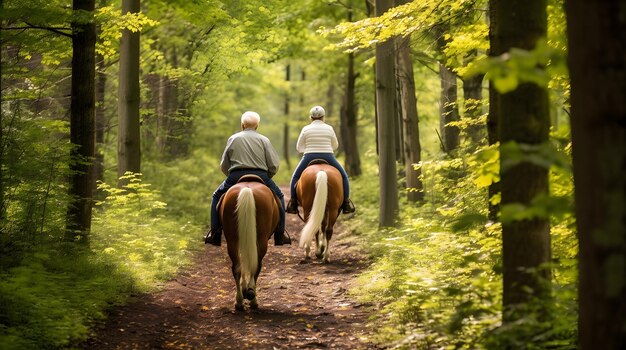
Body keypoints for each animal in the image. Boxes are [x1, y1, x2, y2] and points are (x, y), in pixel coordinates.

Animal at [219, 179, 278, 310]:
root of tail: (247, 189)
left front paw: (244, 288)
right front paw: (246, 290)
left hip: (232, 239)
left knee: (237, 267)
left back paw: (239, 301)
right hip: (261, 239)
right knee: (256, 266)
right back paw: (252, 298)